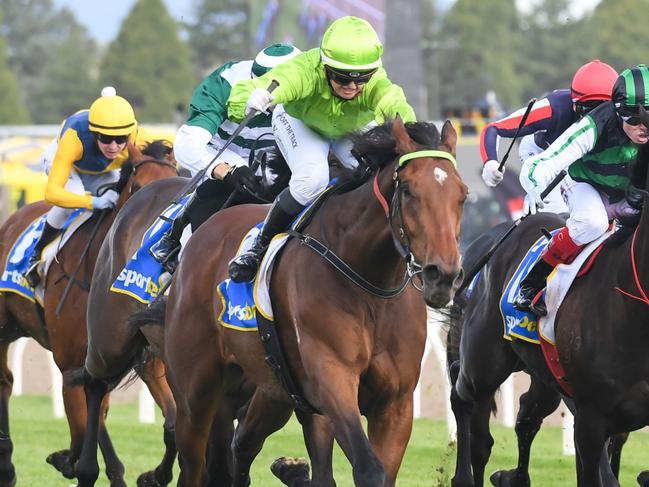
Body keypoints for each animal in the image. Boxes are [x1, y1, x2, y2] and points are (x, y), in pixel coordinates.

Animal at [0, 139, 177, 486]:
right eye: (138, 187)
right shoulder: (69, 359)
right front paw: (72, 460)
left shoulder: (147, 361)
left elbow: (172, 421)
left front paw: (150, 475)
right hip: (3, 327)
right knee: (5, 381)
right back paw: (9, 466)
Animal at [155, 116, 468, 486]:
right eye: (408, 190)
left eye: (462, 195)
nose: (442, 275)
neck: (371, 285)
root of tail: (205, 231)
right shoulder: (332, 381)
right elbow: (369, 468)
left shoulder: (396, 403)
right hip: (196, 390)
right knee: (194, 460)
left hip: (274, 388)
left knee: (242, 443)